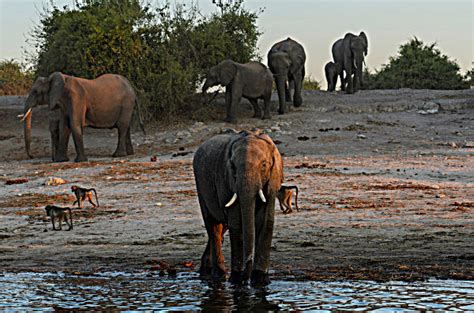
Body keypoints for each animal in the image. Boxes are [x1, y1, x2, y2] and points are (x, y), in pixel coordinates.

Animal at [194, 129, 284, 286]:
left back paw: (207, 269)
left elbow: (266, 221)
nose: (245, 279)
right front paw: (237, 280)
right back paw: (219, 275)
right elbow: (236, 223)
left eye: (264, 165)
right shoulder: (226, 179)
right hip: (200, 185)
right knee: (213, 226)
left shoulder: (273, 179)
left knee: (221, 227)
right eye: (233, 167)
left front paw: (260, 280)